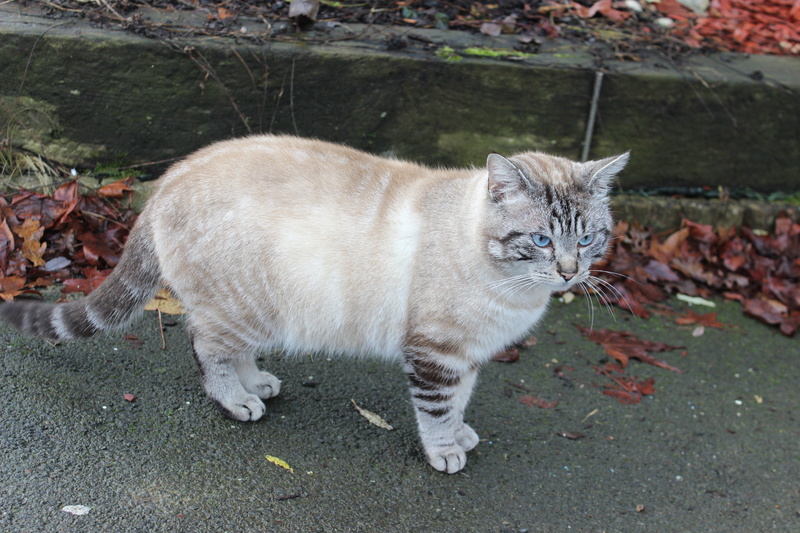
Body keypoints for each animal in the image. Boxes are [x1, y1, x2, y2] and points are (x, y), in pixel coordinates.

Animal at [0, 135, 624, 472]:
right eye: (540, 240)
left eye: (588, 238)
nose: (569, 272)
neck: (512, 292)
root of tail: (168, 179)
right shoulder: (435, 353)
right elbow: (438, 411)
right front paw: (446, 450)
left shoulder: (466, 356)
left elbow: (461, 402)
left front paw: (463, 432)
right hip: (242, 307)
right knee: (206, 349)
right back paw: (238, 400)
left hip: (258, 311)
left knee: (230, 349)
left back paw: (257, 384)